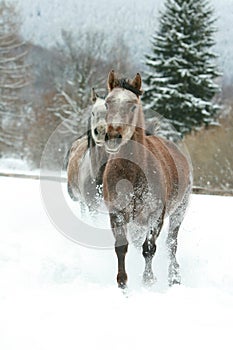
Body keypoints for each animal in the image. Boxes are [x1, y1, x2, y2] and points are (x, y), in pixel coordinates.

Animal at [103, 69, 193, 288]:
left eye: (133, 105)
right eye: (107, 103)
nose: (113, 136)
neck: (131, 173)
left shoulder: (156, 215)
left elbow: (149, 248)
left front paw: (148, 281)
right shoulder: (117, 214)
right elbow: (122, 247)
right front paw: (122, 283)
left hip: (179, 211)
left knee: (171, 243)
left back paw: (174, 277)